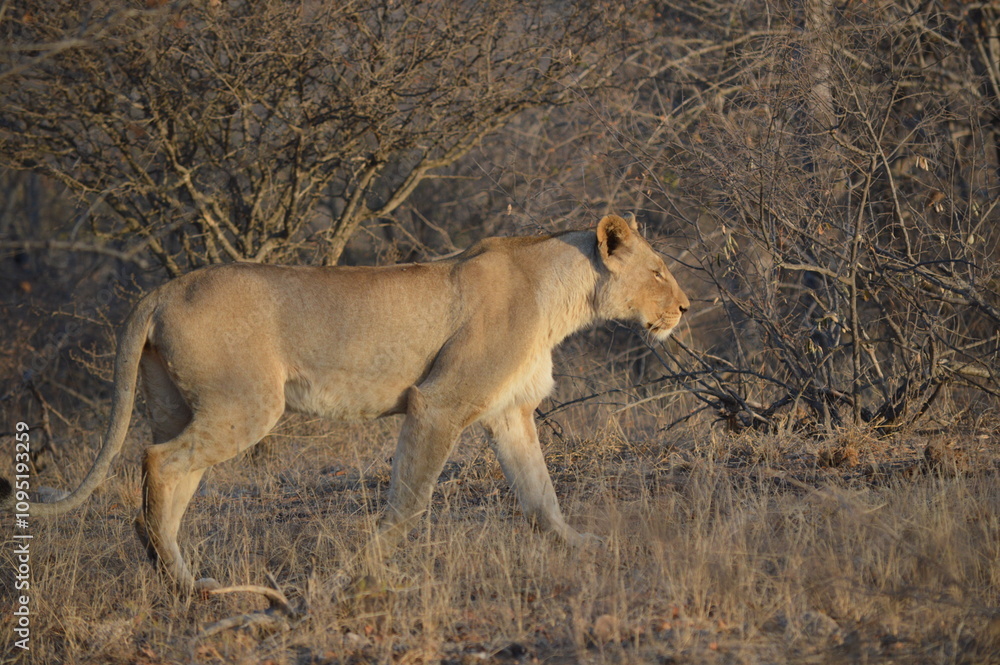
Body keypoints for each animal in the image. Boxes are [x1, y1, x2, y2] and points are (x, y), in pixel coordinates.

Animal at [3, 213, 689, 592]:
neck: (560, 295)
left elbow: (540, 494)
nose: (685, 307)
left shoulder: (507, 411)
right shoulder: (438, 403)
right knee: (159, 462)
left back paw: (175, 574)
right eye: (658, 270)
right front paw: (358, 572)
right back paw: (183, 583)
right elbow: (409, 502)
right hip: (247, 404)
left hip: (179, 402)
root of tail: (164, 287)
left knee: (163, 475)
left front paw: (582, 547)